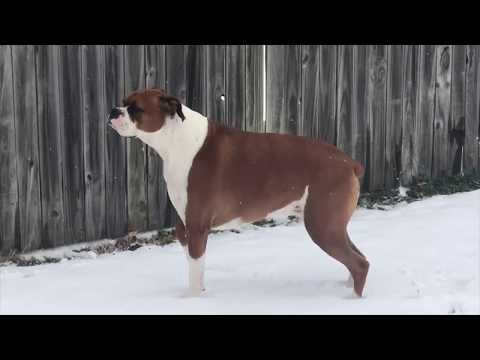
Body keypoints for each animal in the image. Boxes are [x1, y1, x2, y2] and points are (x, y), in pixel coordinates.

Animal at [109, 88, 372, 296]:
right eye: (123, 101)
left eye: (135, 108)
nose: (113, 111)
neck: (176, 139)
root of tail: (349, 162)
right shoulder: (184, 227)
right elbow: (195, 267)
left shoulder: (197, 227)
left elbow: (195, 270)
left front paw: (192, 301)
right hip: (333, 225)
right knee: (357, 258)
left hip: (322, 226)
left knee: (360, 264)